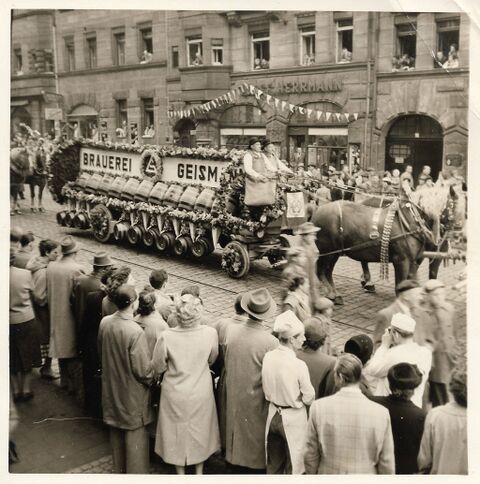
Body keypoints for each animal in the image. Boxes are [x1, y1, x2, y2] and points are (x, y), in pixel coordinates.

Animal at [310, 182, 465, 305]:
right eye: (452, 206)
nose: (458, 236)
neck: (411, 219)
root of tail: (317, 211)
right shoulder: (402, 260)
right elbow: (400, 286)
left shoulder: (416, 261)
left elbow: (412, 282)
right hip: (328, 251)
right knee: (321, 270)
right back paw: (333, 293)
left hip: (336, 252)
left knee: (328, 271)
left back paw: (337, 294)